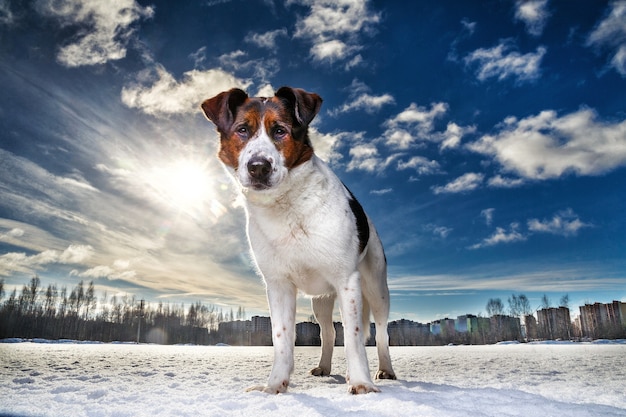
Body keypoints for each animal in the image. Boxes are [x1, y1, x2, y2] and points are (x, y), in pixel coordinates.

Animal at [201, 85, 394, 394]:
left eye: (280, 130)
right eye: (242, 130)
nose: (258, 167)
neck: (287, 205)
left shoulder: (347, 280)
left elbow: (354, 339)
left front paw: (361, 383)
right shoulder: (278, 285)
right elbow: (282, 338)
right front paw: (275, 386)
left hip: (376, 288)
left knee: (381, 334)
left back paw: (385, 370)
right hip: (321, 301)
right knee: (328, 332)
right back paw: (324, 367)